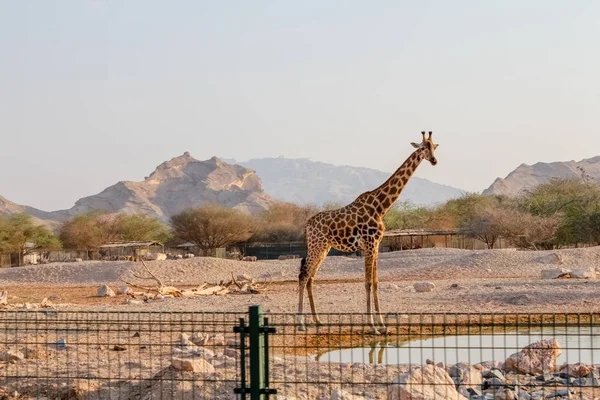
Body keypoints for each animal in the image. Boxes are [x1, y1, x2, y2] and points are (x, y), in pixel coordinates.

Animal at [298, 131, 438, 334]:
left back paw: (318, 320)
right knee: (303, 275)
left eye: (434, 146)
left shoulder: (377, 245)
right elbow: (368, 283)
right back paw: (301, 323)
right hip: (317, 246)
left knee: (310, 278)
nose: (434, 160)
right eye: (422, 148)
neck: (381, 207)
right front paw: (372, 326)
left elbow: (376, 282)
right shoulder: (369, 244)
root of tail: (307, 225)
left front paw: (382, 325)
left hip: (324, 248)